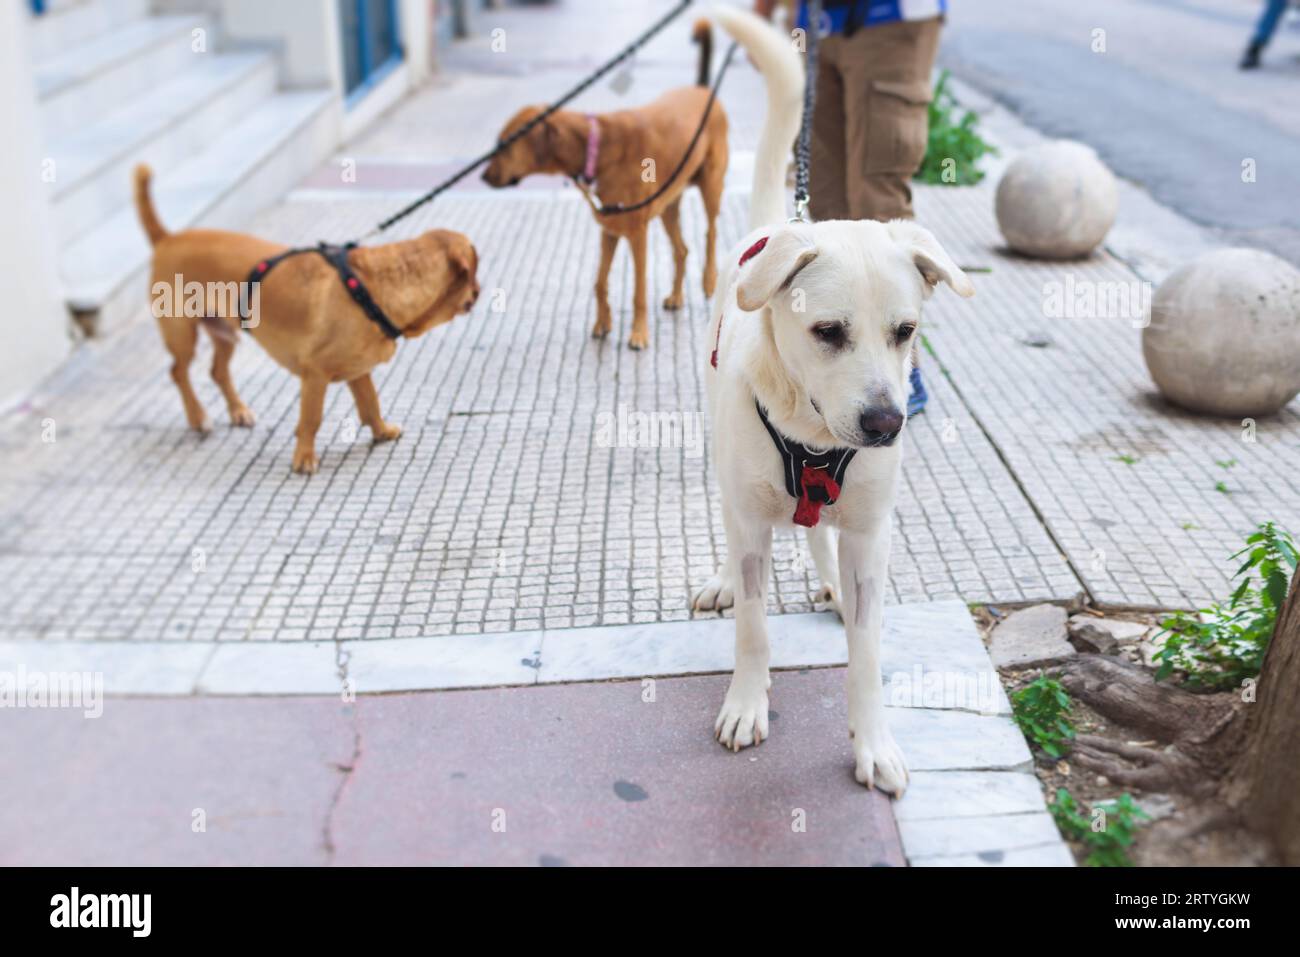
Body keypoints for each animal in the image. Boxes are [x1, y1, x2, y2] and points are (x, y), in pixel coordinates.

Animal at [134, 169, 480, 478]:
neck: (373, 287)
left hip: (225, 333)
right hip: (182, 335)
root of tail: (168, 238)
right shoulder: (315, 375)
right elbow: (311, 420)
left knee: (217, 371)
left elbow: (370, 404)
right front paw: (304, 458)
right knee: (179, 372)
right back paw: (198, 417)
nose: (480, 290)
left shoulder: (359, 372)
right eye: (476, 269)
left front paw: (381, 432)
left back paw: (238, 412)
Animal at [696, 5, 972, 800]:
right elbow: (754, 627)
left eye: (906, 332)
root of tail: (779, 225)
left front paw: (873, 742)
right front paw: (746, 703)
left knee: (820, 529)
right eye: (827, 332)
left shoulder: (871, 531)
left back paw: (829, 581)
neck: (811, 434)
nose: (884, 424)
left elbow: (868, 654)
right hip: (721, 460)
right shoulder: (752, 523)